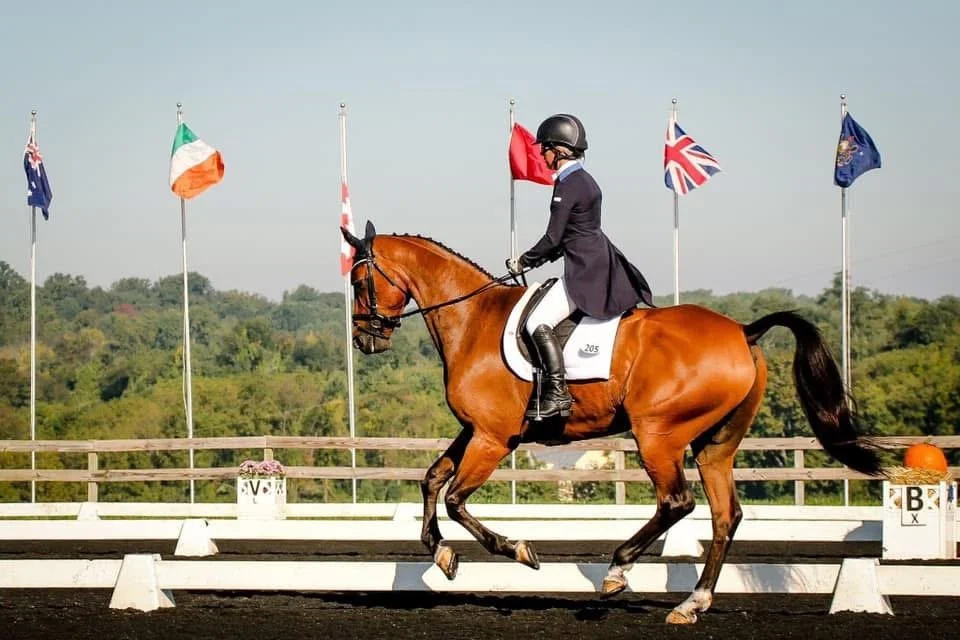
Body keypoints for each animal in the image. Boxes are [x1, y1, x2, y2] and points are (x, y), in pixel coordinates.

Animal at [340, 221, 884, 624]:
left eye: (359, 282)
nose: (365, 341)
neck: (473, 320)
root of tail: (743, 331)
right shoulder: (477, 430)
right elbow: (432, 478)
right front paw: (440, 554)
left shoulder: (494, 438)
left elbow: (455, 498)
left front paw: (517, 550)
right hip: (715, 445)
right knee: (724, 515)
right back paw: (693, 603)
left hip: (657, 435)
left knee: (677, 502)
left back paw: (617, 571)